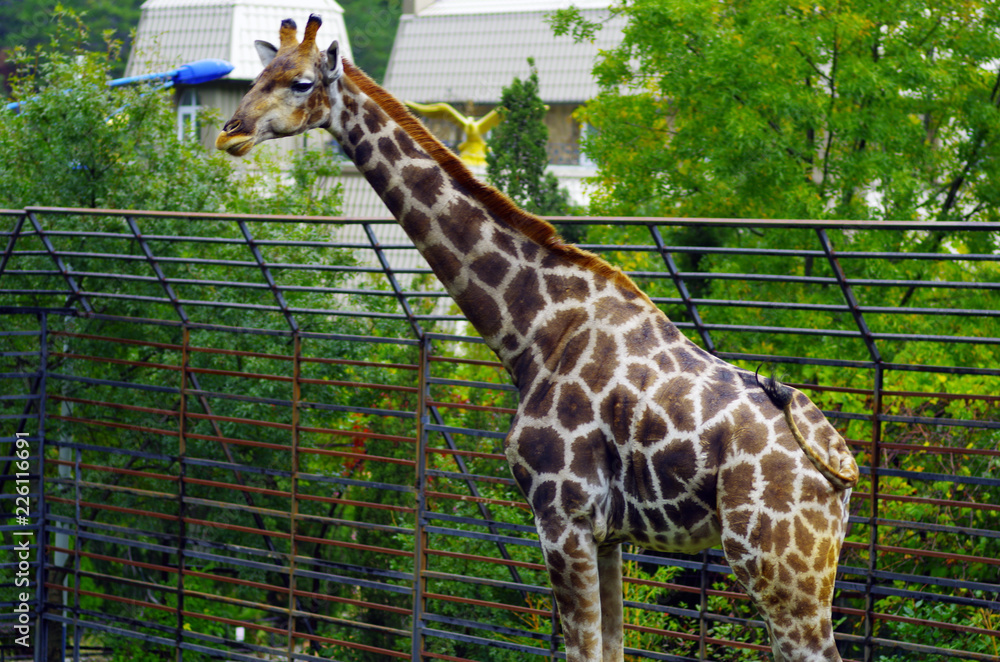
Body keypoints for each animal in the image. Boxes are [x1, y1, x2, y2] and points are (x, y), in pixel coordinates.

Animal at [215, 15, 860, 662]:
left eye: (300, 82)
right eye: (260, 75)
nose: (230, 133)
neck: (532, 330)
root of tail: (839, 465)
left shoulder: (560, 517)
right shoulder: (608, 534)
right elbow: (611, 648)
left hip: (779, 568)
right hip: (801, 569)